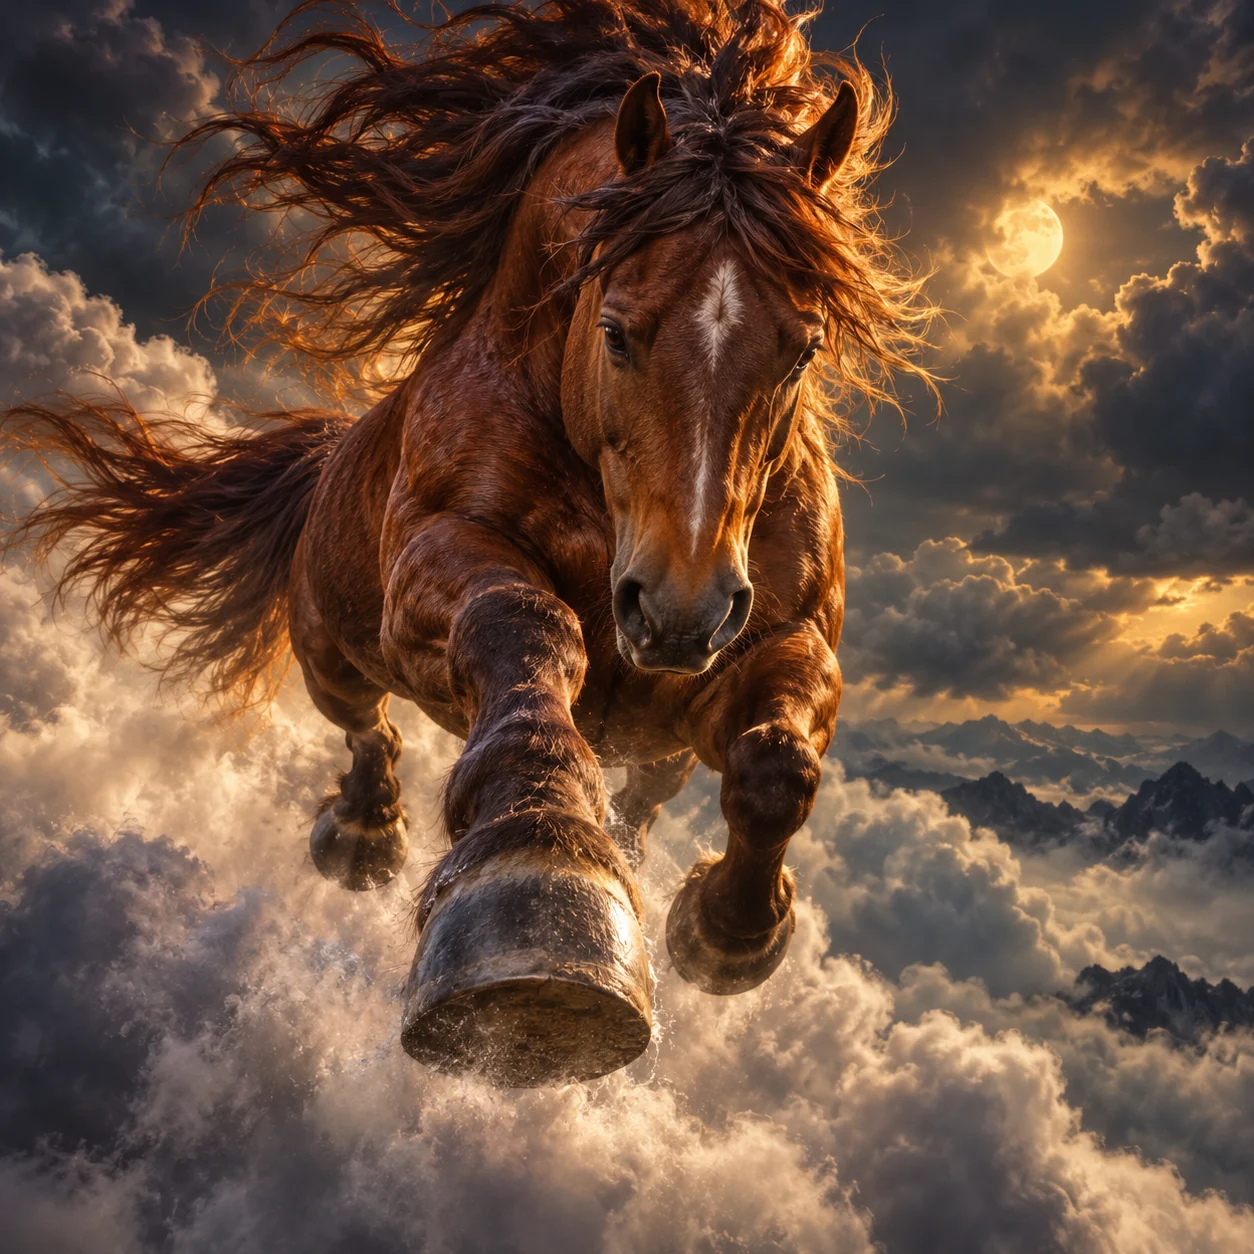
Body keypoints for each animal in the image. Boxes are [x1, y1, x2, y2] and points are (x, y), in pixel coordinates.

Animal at [1, 0, 932, 1086]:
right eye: (617, 331)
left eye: (804, 347)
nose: (679, 611)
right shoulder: (436, 579)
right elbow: (526, 628)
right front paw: (547, 870)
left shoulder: (778, 638)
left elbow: (780, 760)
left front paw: (727, 929)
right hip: (333, 655)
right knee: (367, 729)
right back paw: (361, 838)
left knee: (654, 782)